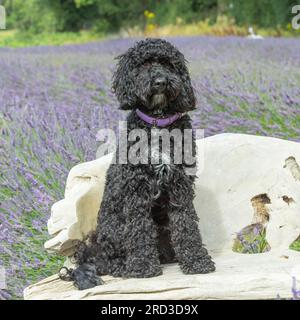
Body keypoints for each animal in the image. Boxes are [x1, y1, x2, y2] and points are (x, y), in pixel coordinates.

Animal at [60, 37, 216, 290]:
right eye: (143, 65)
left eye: (169, 64)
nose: (161, 82)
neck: (157, 124)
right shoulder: (136, 190)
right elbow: (139, 228)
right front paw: (143, 267)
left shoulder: (180, 187)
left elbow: (186, 225)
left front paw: (196, 261)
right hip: (112, 229)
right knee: (109, 262)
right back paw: (125, 267)